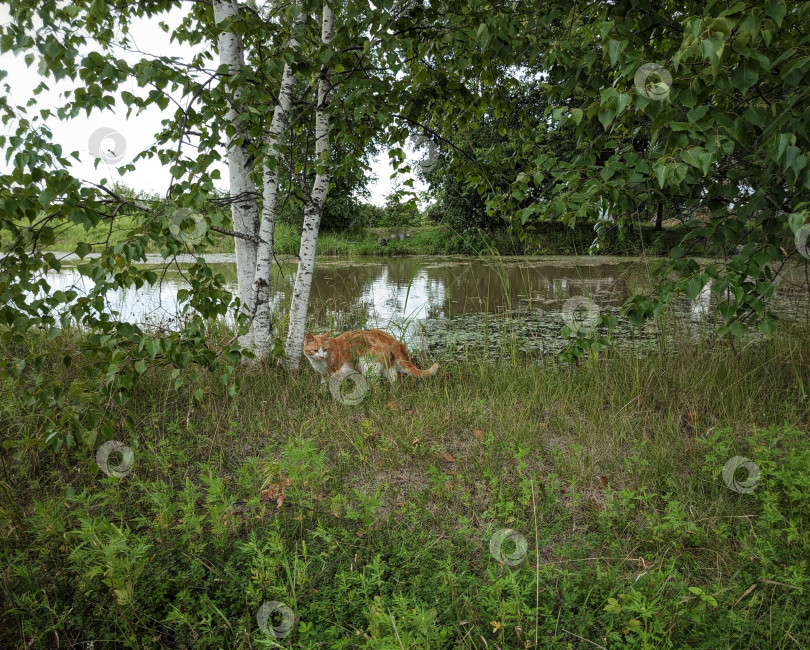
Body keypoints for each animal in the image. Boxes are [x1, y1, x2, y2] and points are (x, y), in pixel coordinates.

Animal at [304, 326, 438, 382]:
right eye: (315, 350)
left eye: (325, 349)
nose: (321, 356)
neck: (319, 362)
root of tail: (392, 339)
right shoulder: (324, 374)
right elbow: (323, 384)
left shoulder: (337, 372)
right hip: (388, 366)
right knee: (394, 380)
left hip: (368, 366)